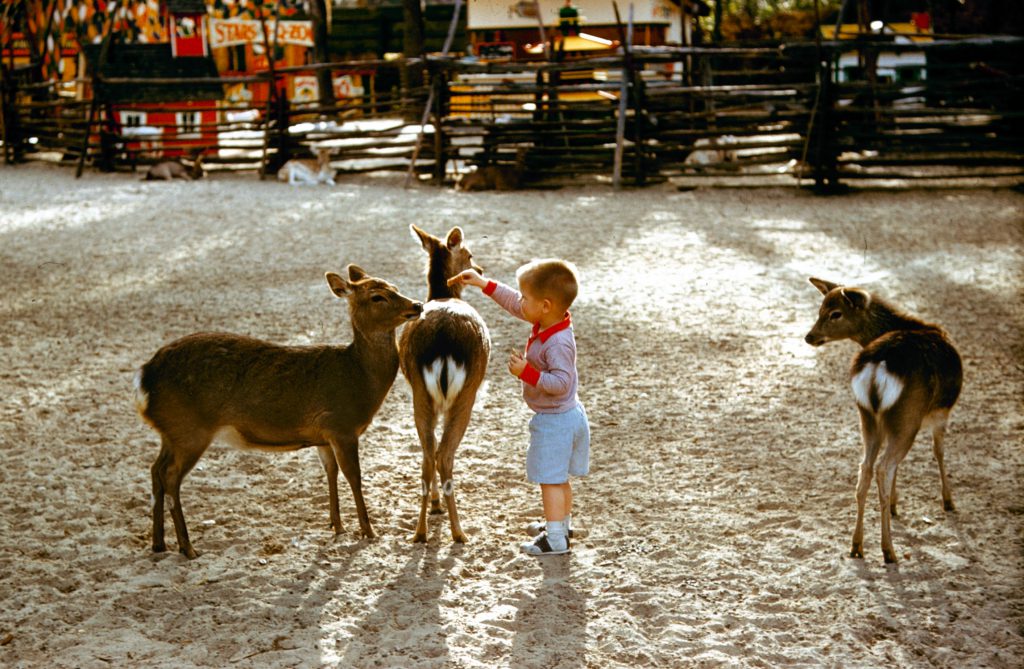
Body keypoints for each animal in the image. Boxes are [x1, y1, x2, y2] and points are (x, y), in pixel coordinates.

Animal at [134, 264, 421, 557]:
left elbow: (330, 472)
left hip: (171, 431)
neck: (361, 378)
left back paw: (159, 544)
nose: (417, 305)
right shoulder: (341, 425)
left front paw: (337, 526)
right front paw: (368, 531)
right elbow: (354, 476)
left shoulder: (323, 435)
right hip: (190, 429)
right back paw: (188, 547)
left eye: (395, 287)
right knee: (170, 476)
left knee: (155, 470)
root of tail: (144, 378)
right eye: (377, 296)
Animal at [399, 224, 491, 540]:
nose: (479, 269)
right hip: (466, 394)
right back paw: (459, 532)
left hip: (419, 393)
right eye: (469, 254)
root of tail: (443, 340)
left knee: (428, 456)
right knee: (443, 456)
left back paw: (420, 532)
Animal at [802, 276, 962, 565]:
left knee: (865, 468)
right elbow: (939, 452)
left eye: (834, 313)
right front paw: (948, 500)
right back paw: (888, 550)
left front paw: (896, 505)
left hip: (868, 415)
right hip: (907, 416)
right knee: (883, 467)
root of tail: (878, 366)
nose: (810, 336)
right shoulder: (941, 412)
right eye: (821, 310)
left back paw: (857, 545)